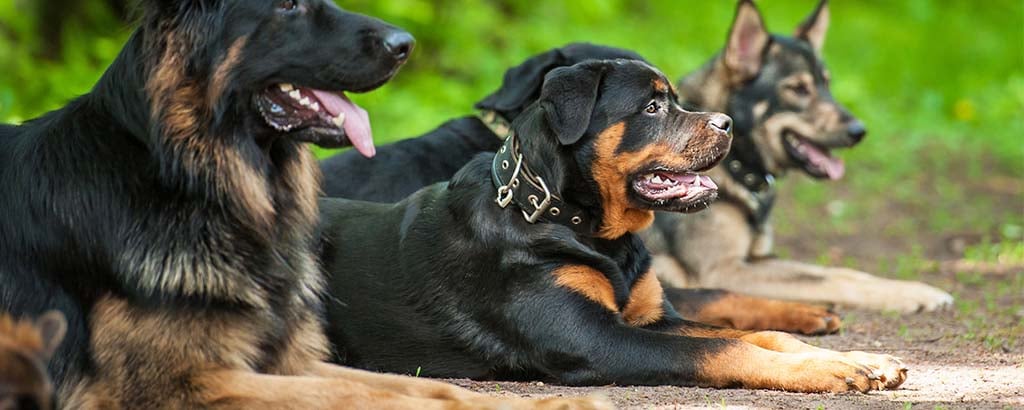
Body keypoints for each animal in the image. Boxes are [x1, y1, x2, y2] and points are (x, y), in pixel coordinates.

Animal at [0, 1, 598, 407]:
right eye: (287, 5)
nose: (404, 45)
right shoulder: (184, 382)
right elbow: (374, 397)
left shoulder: (289, 360)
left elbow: (429, 390)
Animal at [317, 59, 905, 391]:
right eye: (652, 107)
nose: (728, 123)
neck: (578, 224)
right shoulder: (593, 339)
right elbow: (724, 348)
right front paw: (830, 371)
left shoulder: (652, 319)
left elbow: (758, 334)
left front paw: (859, 357)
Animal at [643, 0, 954, 311]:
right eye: (798, 89)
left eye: (827, 84)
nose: (859, 131)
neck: (736, 163)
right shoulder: (722, 270)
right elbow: (830, 280)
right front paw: (915, 294)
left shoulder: (758, 259)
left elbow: (840, 271)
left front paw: (911, 287)